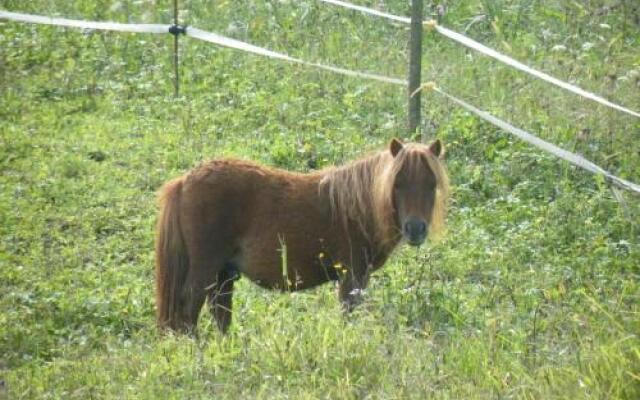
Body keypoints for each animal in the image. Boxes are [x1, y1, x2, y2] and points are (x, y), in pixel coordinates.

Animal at [156, 139, 448, 332]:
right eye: (397, 183)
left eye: (432, 183)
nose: (415, 228)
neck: (356, 206)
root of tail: (185, 181)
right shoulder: (352, 276)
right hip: (205, 269)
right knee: (188, 310)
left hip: (224, 274)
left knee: (220, 314)